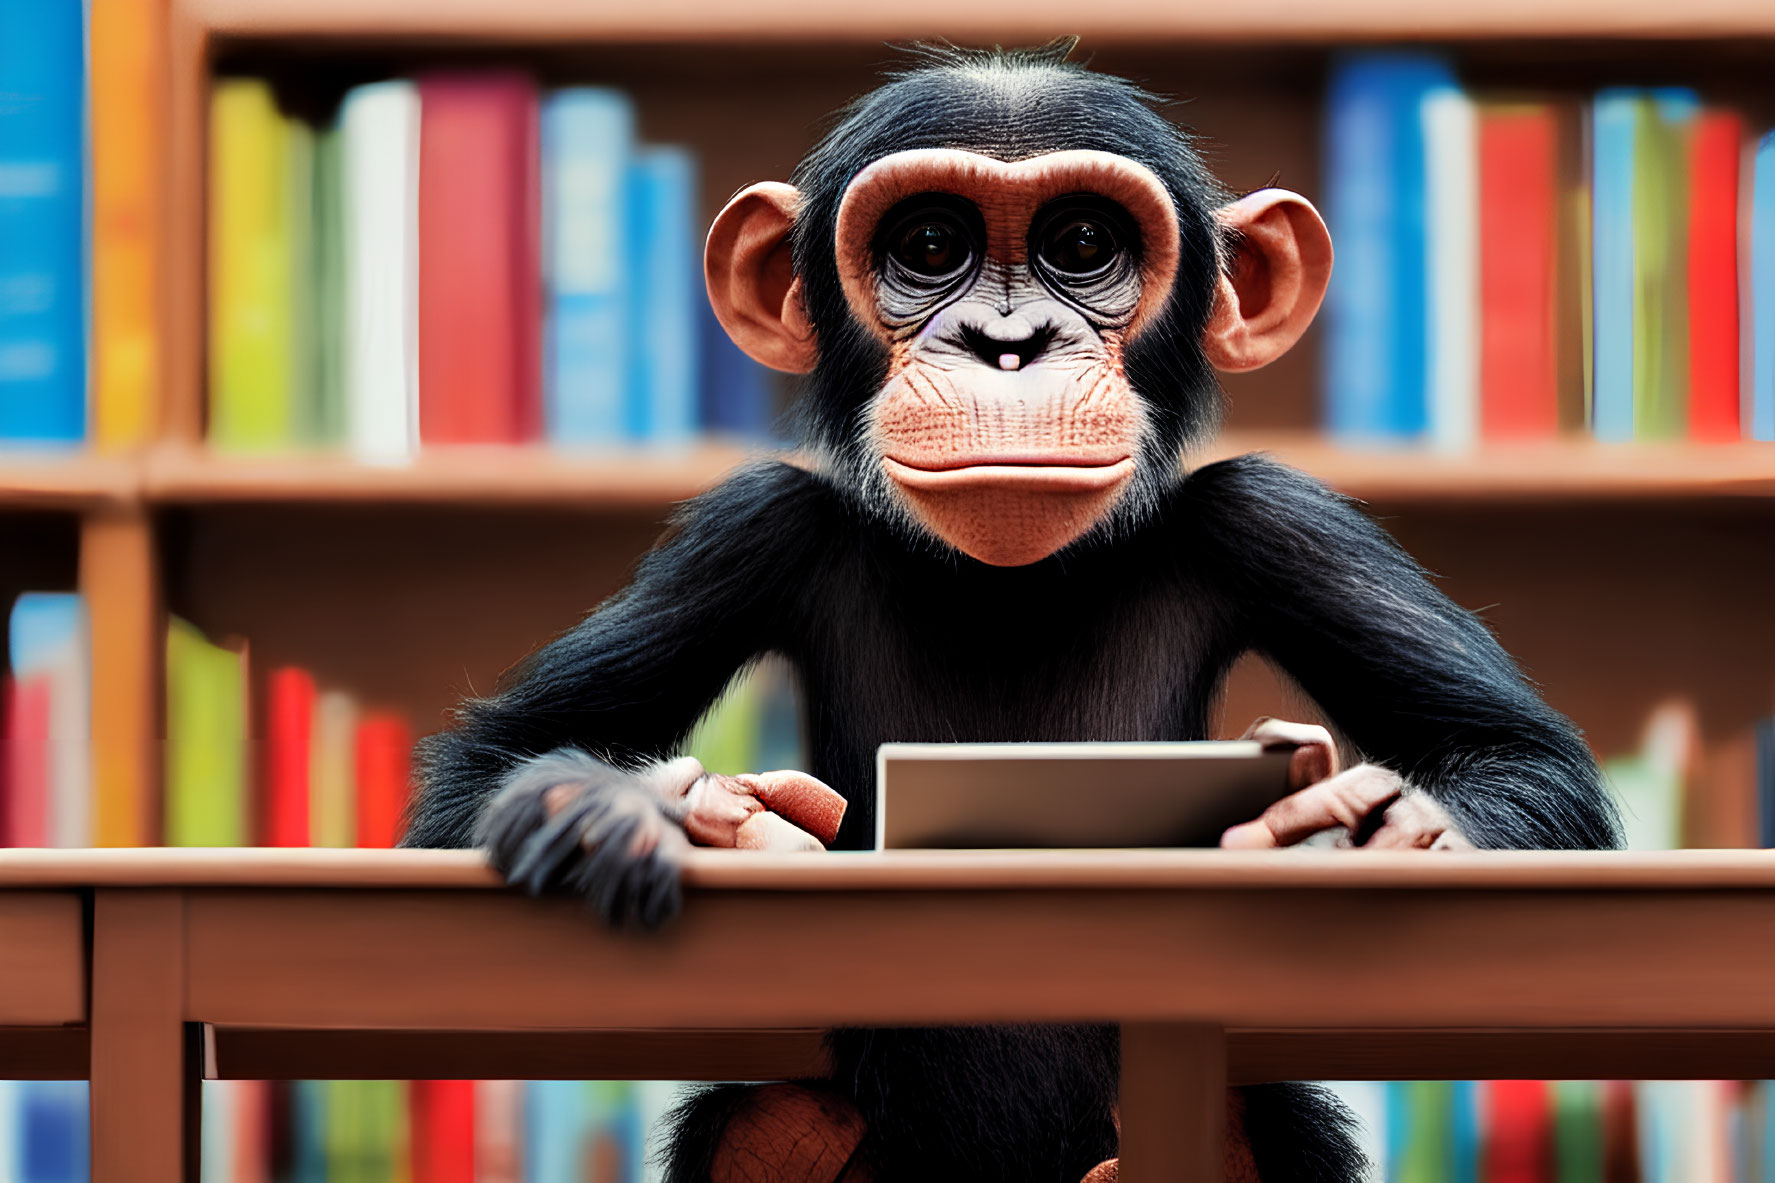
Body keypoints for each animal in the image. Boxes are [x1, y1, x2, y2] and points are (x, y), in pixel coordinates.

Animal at [406, 39, 1625, 1179]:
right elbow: (488, 768)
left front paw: (1366, 825)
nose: (1007, 344)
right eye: (930, 248)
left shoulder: (1283, 516)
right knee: (764, 1128)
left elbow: (1511, 753)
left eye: (1081, 246)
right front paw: (656, 808)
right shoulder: (749, 528)